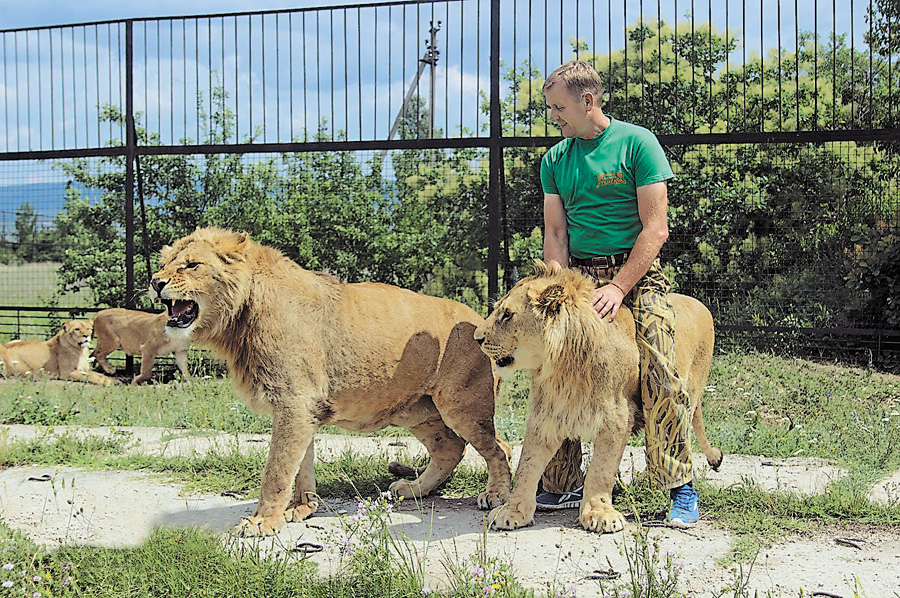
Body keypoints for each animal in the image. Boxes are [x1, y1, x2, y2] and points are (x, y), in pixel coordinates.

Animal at [151, 230, 510, 540]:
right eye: (164, 263)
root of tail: (479, 321)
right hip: (417, 411)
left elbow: (276, 470)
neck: (240, 316)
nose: (155, 282)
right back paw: (413, 490)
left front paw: (262, 522)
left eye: (192, 265)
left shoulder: (294, 402)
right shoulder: (304, 405)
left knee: (497, 448)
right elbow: (300, 464)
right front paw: (302, 508)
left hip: (461, 405)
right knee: (451, 448)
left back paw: (496, 496)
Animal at [474, 262, 720, 536]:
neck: (563, 365)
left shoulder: (617, 416)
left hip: (674, 386)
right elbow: (527, 465)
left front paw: (599, 513)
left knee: (670, 431)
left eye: (507, 315)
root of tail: (700, 304)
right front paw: (513, 512)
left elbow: (601, 469)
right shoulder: (546, 414)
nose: (477, 338)